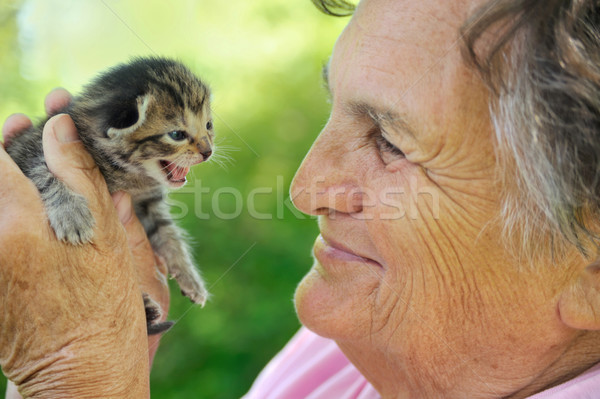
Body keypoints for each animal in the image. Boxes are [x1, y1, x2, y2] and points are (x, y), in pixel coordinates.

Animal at [6, 56, 213, 336]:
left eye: (209, 126)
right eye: (177, 135)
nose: (208, 151)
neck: (130, 176)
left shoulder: (147, 204)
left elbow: (168, 234)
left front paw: (190, 277)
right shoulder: (28, 153)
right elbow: (42, 173)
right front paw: (71, 213)